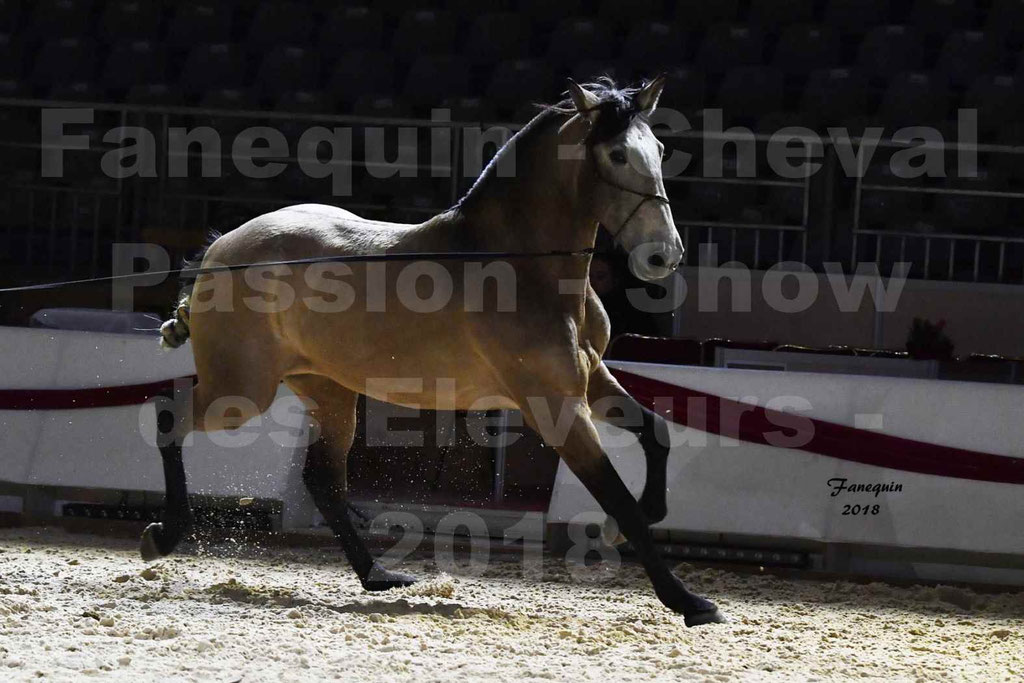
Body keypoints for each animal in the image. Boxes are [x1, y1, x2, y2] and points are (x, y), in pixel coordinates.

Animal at [148, 76, 726, 627]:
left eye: (658, 149)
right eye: (617, 155)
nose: (663, 256)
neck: (527, 267)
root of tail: (222, 249)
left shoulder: (591, 378)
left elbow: (656, 435)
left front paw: (621, 531)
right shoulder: (554, 404)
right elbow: (617, 495)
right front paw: (689, 601)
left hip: (326, 389)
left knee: (321, 480)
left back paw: (379, 576)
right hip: (242, 389)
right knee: (170, 417)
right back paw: (164, 535)